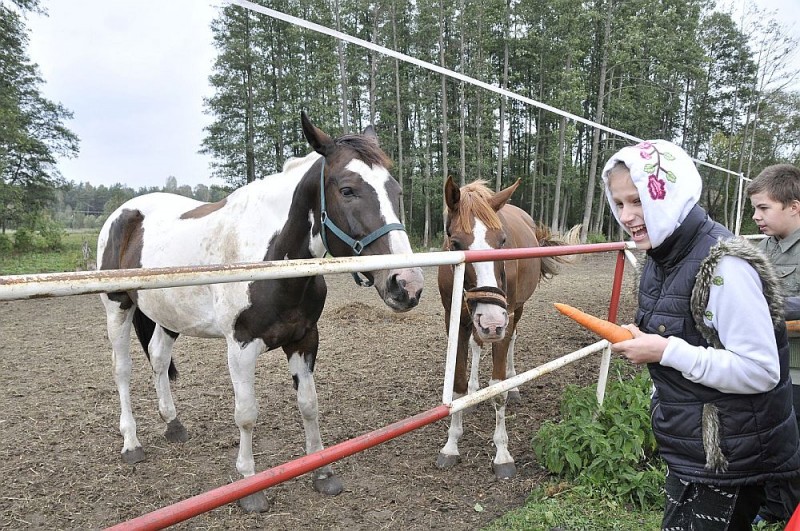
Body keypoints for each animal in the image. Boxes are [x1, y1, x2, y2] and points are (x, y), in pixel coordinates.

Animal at [98, 111, 424, 512]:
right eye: (347, 190)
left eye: (396, 191)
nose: (407, 284)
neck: (271, 260)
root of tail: (124, 213)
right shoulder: (240, 347)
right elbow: (247, 415)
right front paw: (250, 485)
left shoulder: (305, 339)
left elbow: (309, 404)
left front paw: (322, 471)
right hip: (118, 307)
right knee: (123, 370)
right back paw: (131, 443)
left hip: (168, 314)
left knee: (158, 357)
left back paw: (173, 424)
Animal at [434, 177, 572, 480]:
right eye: (455, 242)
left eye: (503, 241)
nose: (492, 322)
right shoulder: (456, 322)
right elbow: (458, 387)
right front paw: (451, 444)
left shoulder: (504, 317)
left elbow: (498, 390)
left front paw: (502, 454)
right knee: (478, 345)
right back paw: (475, 389)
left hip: (515, 311)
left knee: (512, 340)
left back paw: (514, 383)